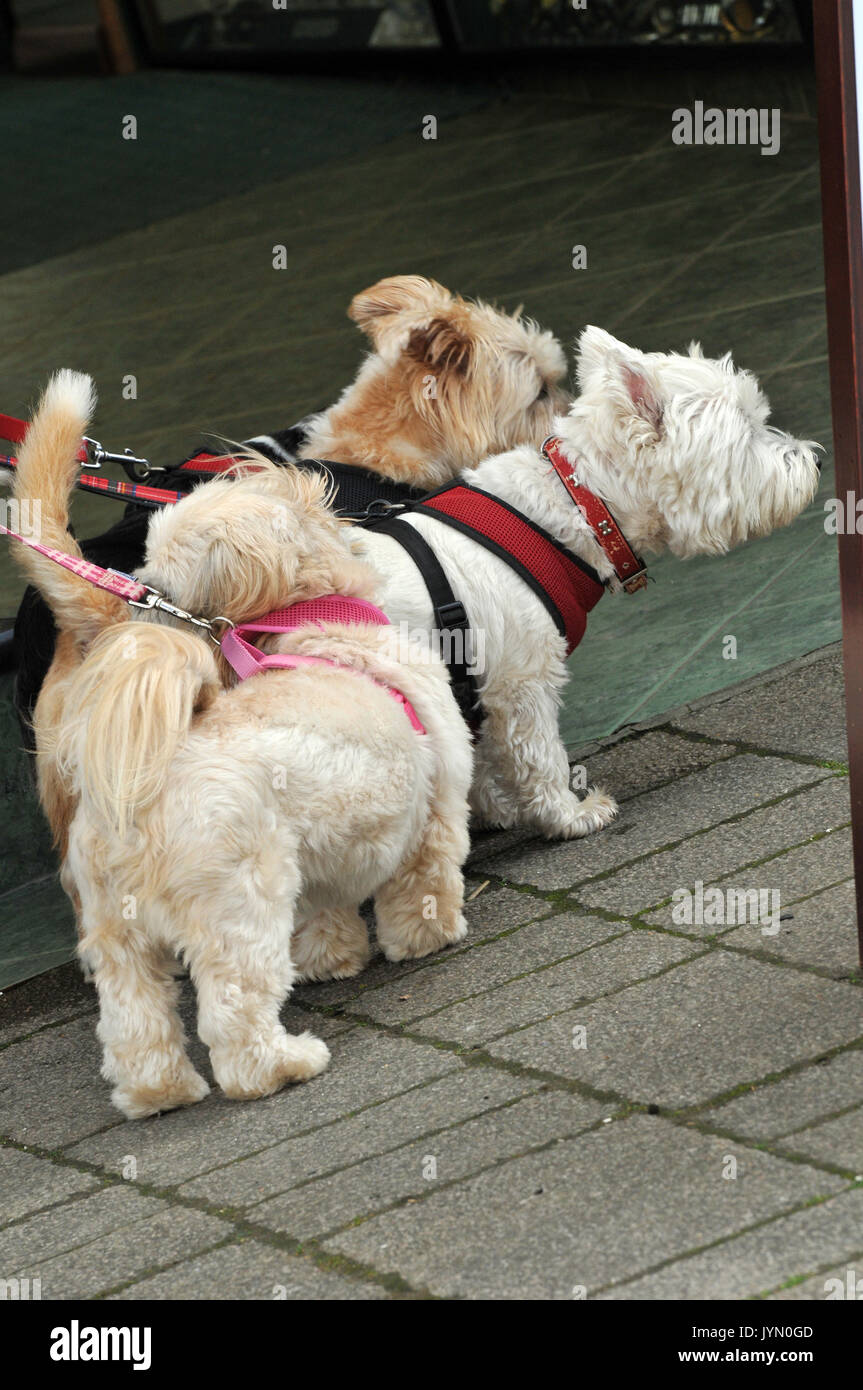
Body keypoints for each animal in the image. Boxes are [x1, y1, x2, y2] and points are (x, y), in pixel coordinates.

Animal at [346, 328, 817, 834]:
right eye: (747, 433)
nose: (814, 461)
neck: (576, 504)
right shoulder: (522, 678)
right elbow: (539, 754)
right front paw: (569, 815)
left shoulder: (477, 691)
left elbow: (482, 760)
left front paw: (497, 810)